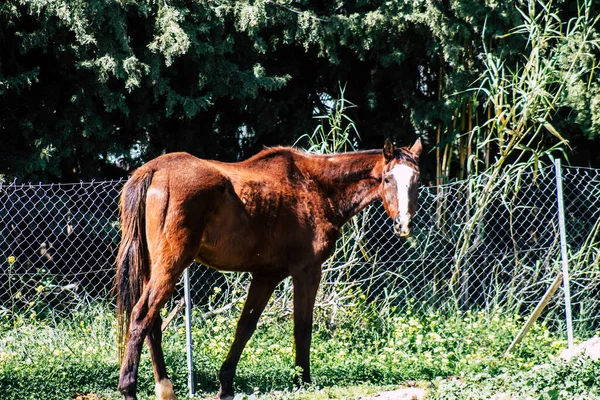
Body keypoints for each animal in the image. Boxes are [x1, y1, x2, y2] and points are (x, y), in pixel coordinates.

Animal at [113, 138, 422, 400]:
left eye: (416, 180)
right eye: (387, 179)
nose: (403, 225)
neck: (314, 186)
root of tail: (153, 170)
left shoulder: (266, 276)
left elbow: (245, 326)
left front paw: (226, 384)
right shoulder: (307, 272)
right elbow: (302, 327)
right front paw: (302, 379)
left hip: (153, 268)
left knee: (152, 323)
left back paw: (165, 389)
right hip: (171, 266)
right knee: (141, 316)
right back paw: (129, 388)